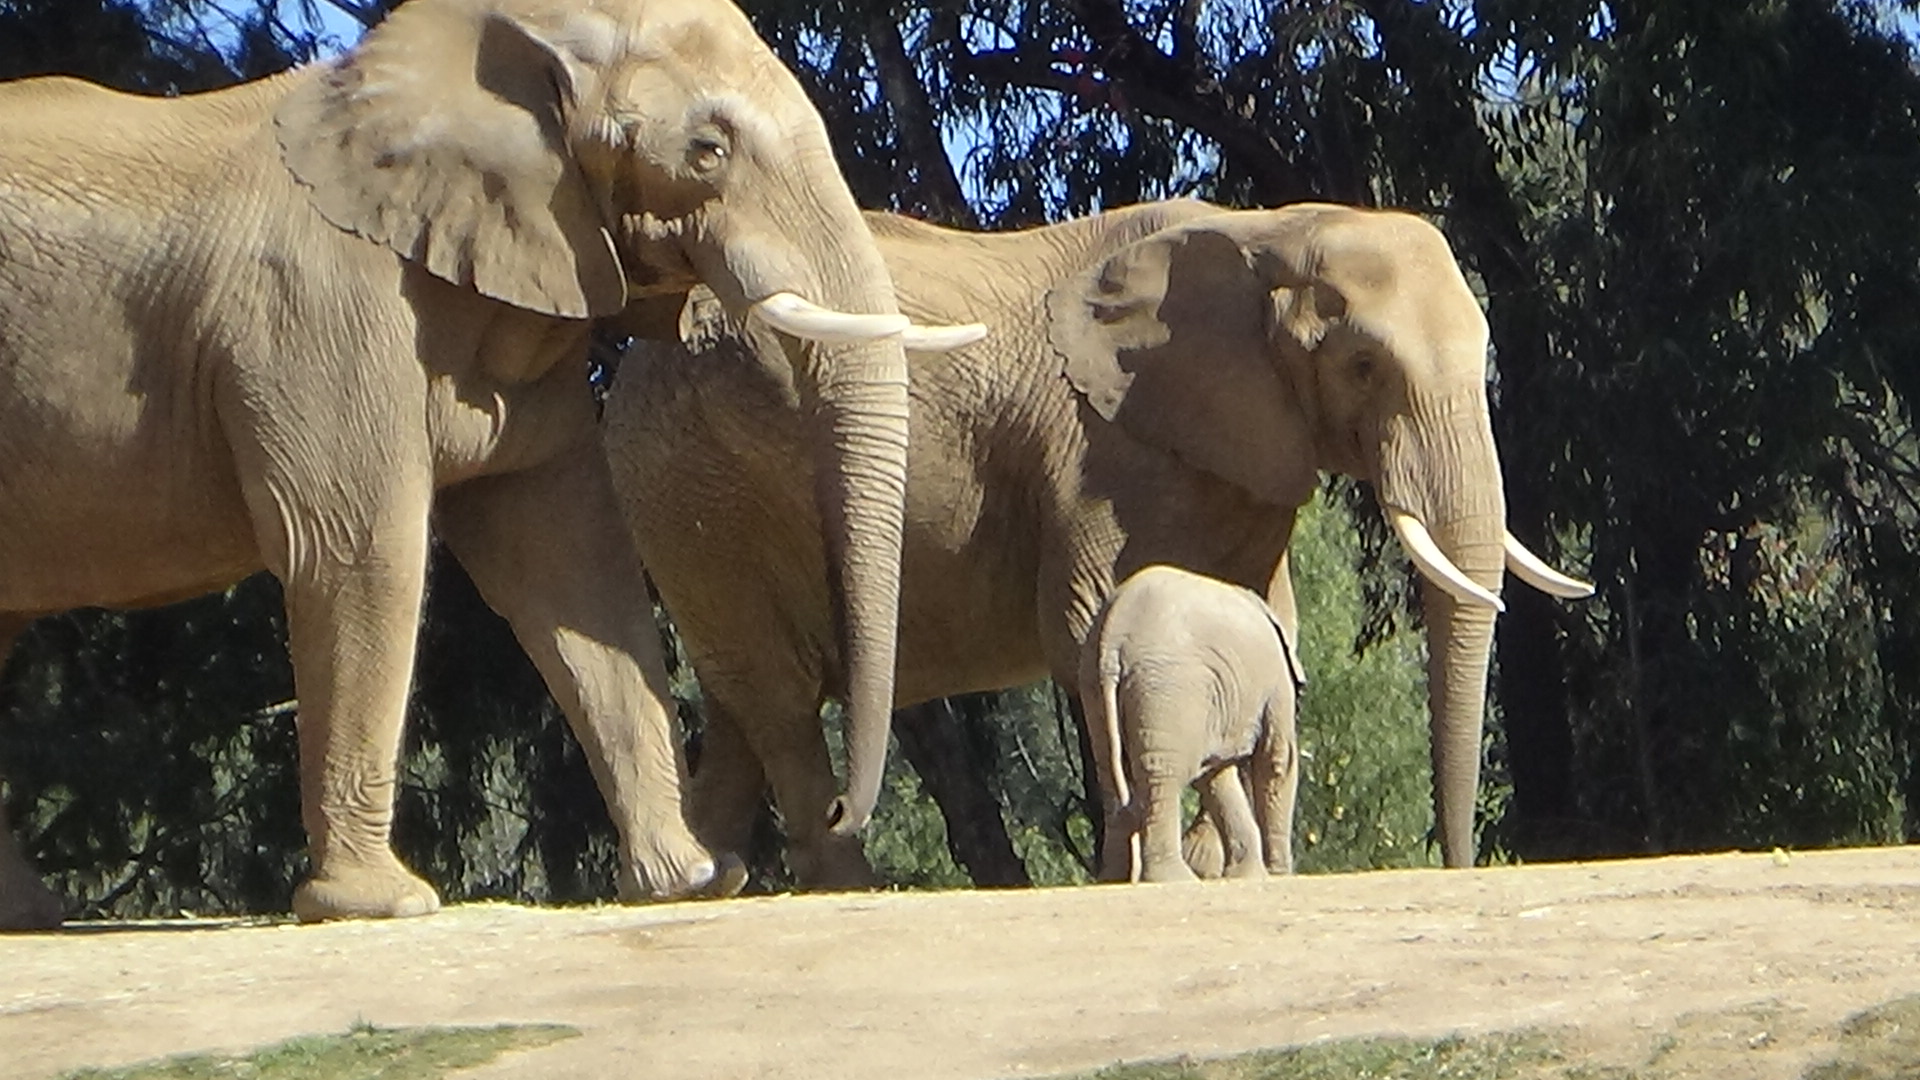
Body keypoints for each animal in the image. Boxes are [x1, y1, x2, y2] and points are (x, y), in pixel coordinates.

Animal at [0, 0, 981, 929]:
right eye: (707, 151)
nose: (842, 815)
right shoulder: (319, 310)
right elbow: (358, 551)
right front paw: (386, 906)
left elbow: (573, 565)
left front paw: (693, 883)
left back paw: (28, 916)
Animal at [1081, 564, 1301, 884]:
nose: (1280, 871)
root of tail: (1112, 635)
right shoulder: (1277, 686)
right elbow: (1276, 762)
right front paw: (1275, 875)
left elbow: (1215, 777)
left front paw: (1249, 876)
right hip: (1168, 686)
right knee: (1164, 773)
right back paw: (1174, 878)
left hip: (1096, 685)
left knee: (1109, 771)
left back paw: (1115, 880)